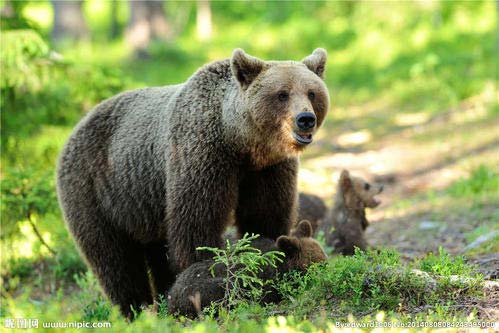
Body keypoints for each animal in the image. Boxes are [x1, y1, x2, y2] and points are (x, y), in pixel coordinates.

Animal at [56, 47, 330, 316]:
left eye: (312, 92)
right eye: (282, 94)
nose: (305, 118)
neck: (240, 143)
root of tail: (75, 128)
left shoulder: (268, 170)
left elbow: (265, 214)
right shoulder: (201, 156)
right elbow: (197, 224)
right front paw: (200, 270)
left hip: (146, 206)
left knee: (155, 251)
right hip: (96, 189)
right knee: (114, 259)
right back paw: (134, 309)